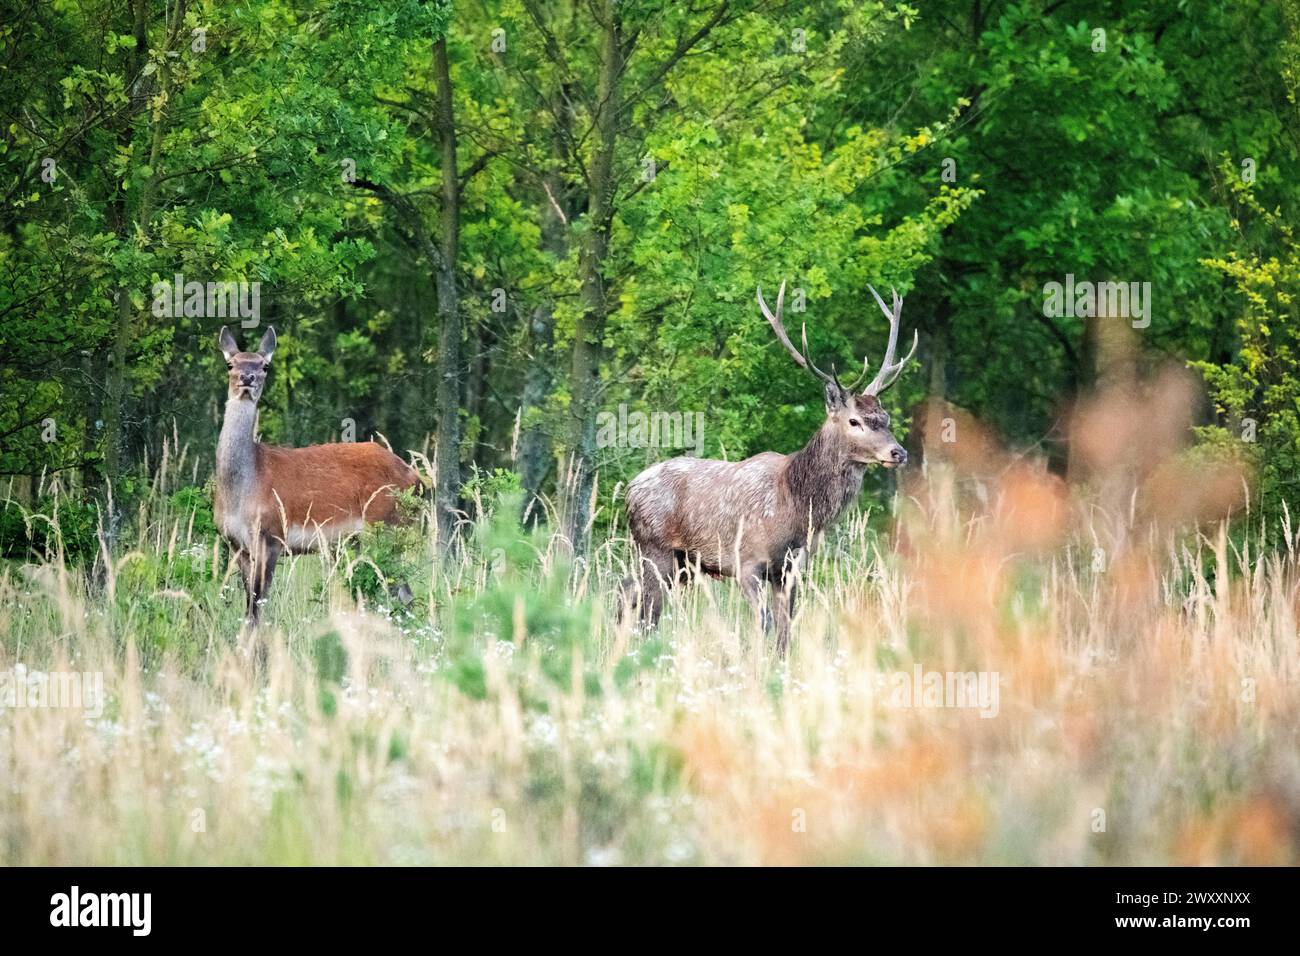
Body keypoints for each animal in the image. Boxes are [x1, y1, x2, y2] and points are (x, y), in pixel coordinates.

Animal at [215, 325, 422, 625]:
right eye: (230, 364)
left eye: (265, 365)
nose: (247, 377)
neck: (243, 487)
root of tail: (417, 479)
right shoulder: (236, 544)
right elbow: (249, 606)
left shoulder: (271, 535)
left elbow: (257, 606)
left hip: (386, 527)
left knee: (402, 592)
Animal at [622, 282, 917, 653]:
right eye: (854, 421)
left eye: (885, 417)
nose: (898, 452)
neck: (796, 507)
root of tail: (629, 490)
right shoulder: (745, 562)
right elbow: (764, 624)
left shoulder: (792, 569)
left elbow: (787, 630)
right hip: (655, 547)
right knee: (647, 610)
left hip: (680, 562)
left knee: (629, 592)